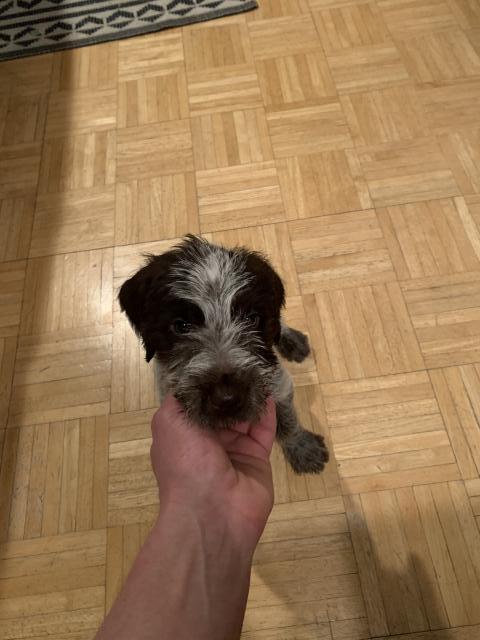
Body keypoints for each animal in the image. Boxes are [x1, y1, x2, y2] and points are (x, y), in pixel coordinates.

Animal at [119, 235, 329, 474]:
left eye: (252, 319)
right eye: (181, 326)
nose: (227, 398)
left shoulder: (279, 384)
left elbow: (288, 419)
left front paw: (302, 447)